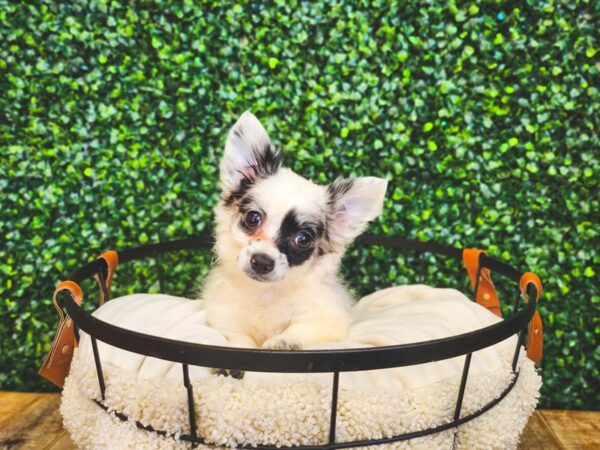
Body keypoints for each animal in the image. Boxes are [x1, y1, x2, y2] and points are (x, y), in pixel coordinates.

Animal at [203, 111, 390, 352]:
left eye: (303, 239)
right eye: (253, 218)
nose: (261, 262)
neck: (266, 293)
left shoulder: (323, 323)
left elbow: (300, 329)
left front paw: (282, 341)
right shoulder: (227, 321)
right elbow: (239, 340)